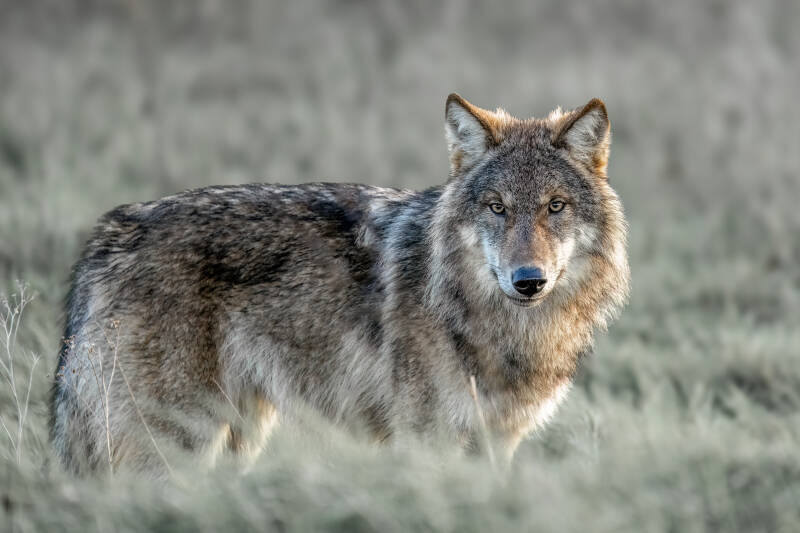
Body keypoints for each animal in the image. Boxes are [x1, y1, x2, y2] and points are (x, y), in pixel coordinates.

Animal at [50, 94, 629, 475]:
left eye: (555, 206)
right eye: (497, 208)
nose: (528, 280)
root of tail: (111, 231)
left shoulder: (497, 444)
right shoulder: (429, 441)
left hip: (238, 435)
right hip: (178, 443)